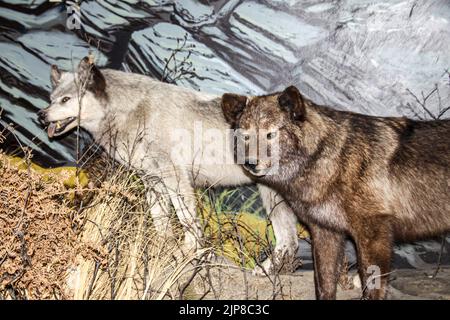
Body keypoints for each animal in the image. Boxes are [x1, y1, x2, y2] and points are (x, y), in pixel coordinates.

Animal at [37, 57, 298, 276]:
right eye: (51, 99)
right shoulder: (153, 181)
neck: (135, 112)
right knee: (290, 240)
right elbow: (161, 224)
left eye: (66, 100)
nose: (41, 115)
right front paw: (162, 250)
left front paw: (188, 253)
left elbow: (188, 223)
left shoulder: (175, 177)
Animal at [221, 85, 450, 300]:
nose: (250, 164)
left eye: (271, 134)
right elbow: (324, 284)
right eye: (245, 136)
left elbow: (371, 285)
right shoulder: (326, 233)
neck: (332, 158)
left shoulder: (374, 235)